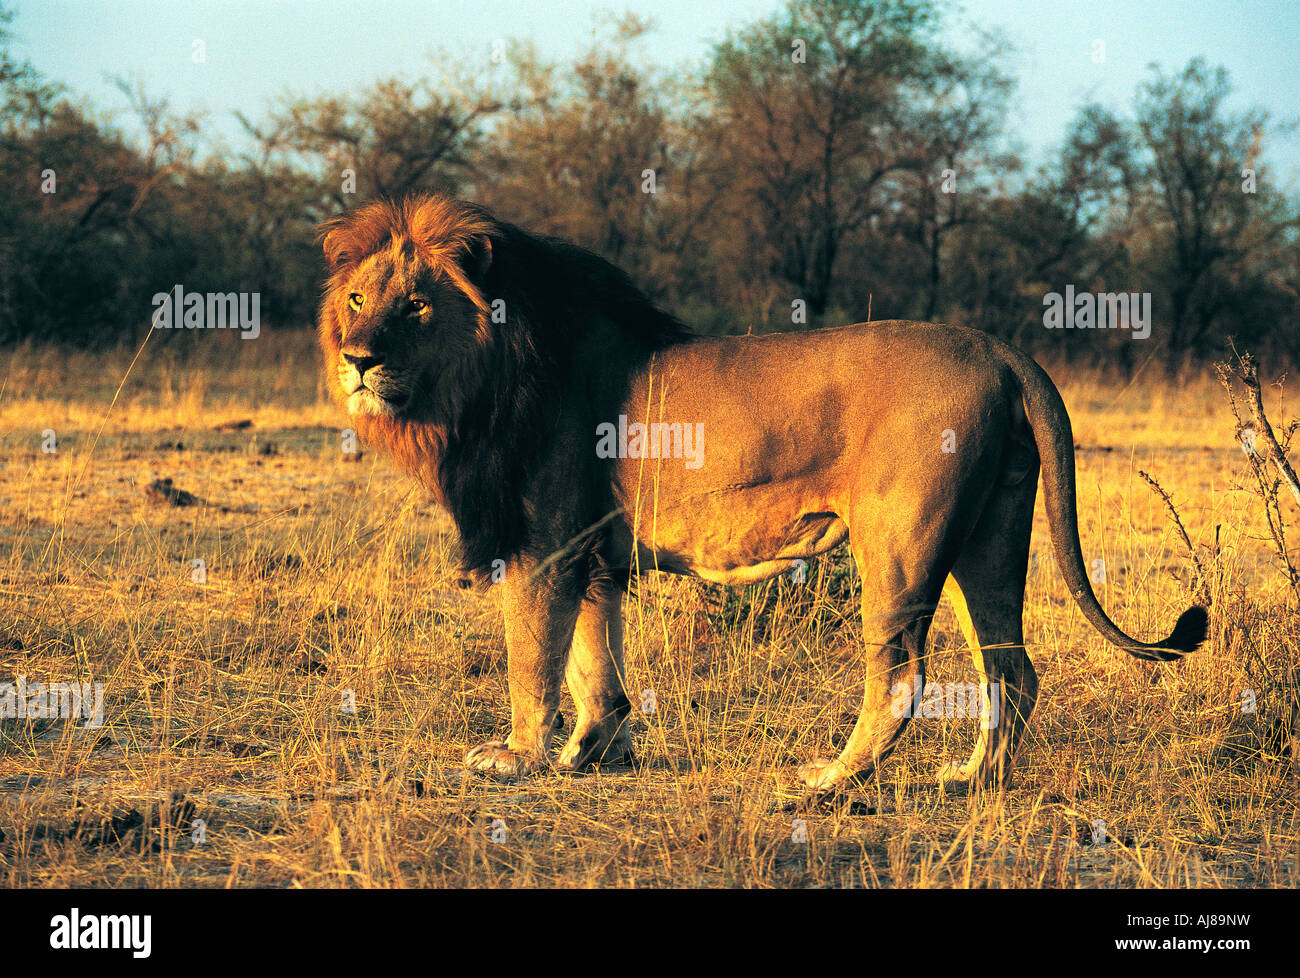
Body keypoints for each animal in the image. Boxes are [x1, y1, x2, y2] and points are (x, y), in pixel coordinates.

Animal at [316, 193, 1208, 802]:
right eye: (358, 299)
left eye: (417, 304)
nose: (358, 359)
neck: (479, 382)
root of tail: (1000, 349)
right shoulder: (593, 550)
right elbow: (594, 662)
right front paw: (592, 752)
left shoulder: (548, 544)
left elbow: (533, 658)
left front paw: (519, 756)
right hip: (990, 534)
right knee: (1012, 665)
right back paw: (970, 779)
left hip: (899, 543)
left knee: (902, 674)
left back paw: (830, 780)